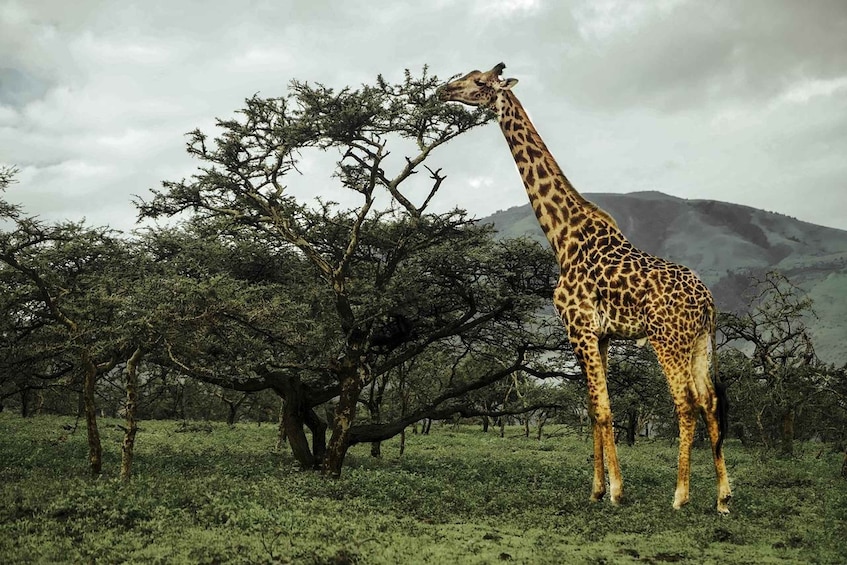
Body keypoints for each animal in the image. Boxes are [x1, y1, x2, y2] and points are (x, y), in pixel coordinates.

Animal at [439, 63, 732, 514]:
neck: (563, 237)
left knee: (685, 403)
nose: (442, 90)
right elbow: (595, 409)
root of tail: (709, 301)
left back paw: (680, 495)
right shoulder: (602, 334)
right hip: (698, 341)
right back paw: (722, 497)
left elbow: (604, 409)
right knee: (710, 402)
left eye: (479, 82)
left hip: (668, 339)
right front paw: (596, 488)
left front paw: (616, 491)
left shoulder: (578, 327)